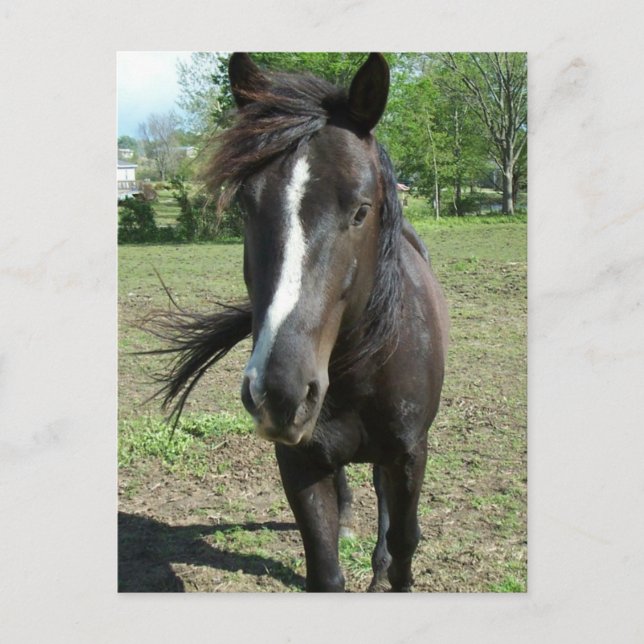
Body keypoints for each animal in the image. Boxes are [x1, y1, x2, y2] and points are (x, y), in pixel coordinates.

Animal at [152, 53, 449, 592]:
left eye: (361, 210)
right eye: (246, 206)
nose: (279, 393)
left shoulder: (410, 455)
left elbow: (405, 545)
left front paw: (385, 569)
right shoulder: (299, 462)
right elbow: (325, 571)